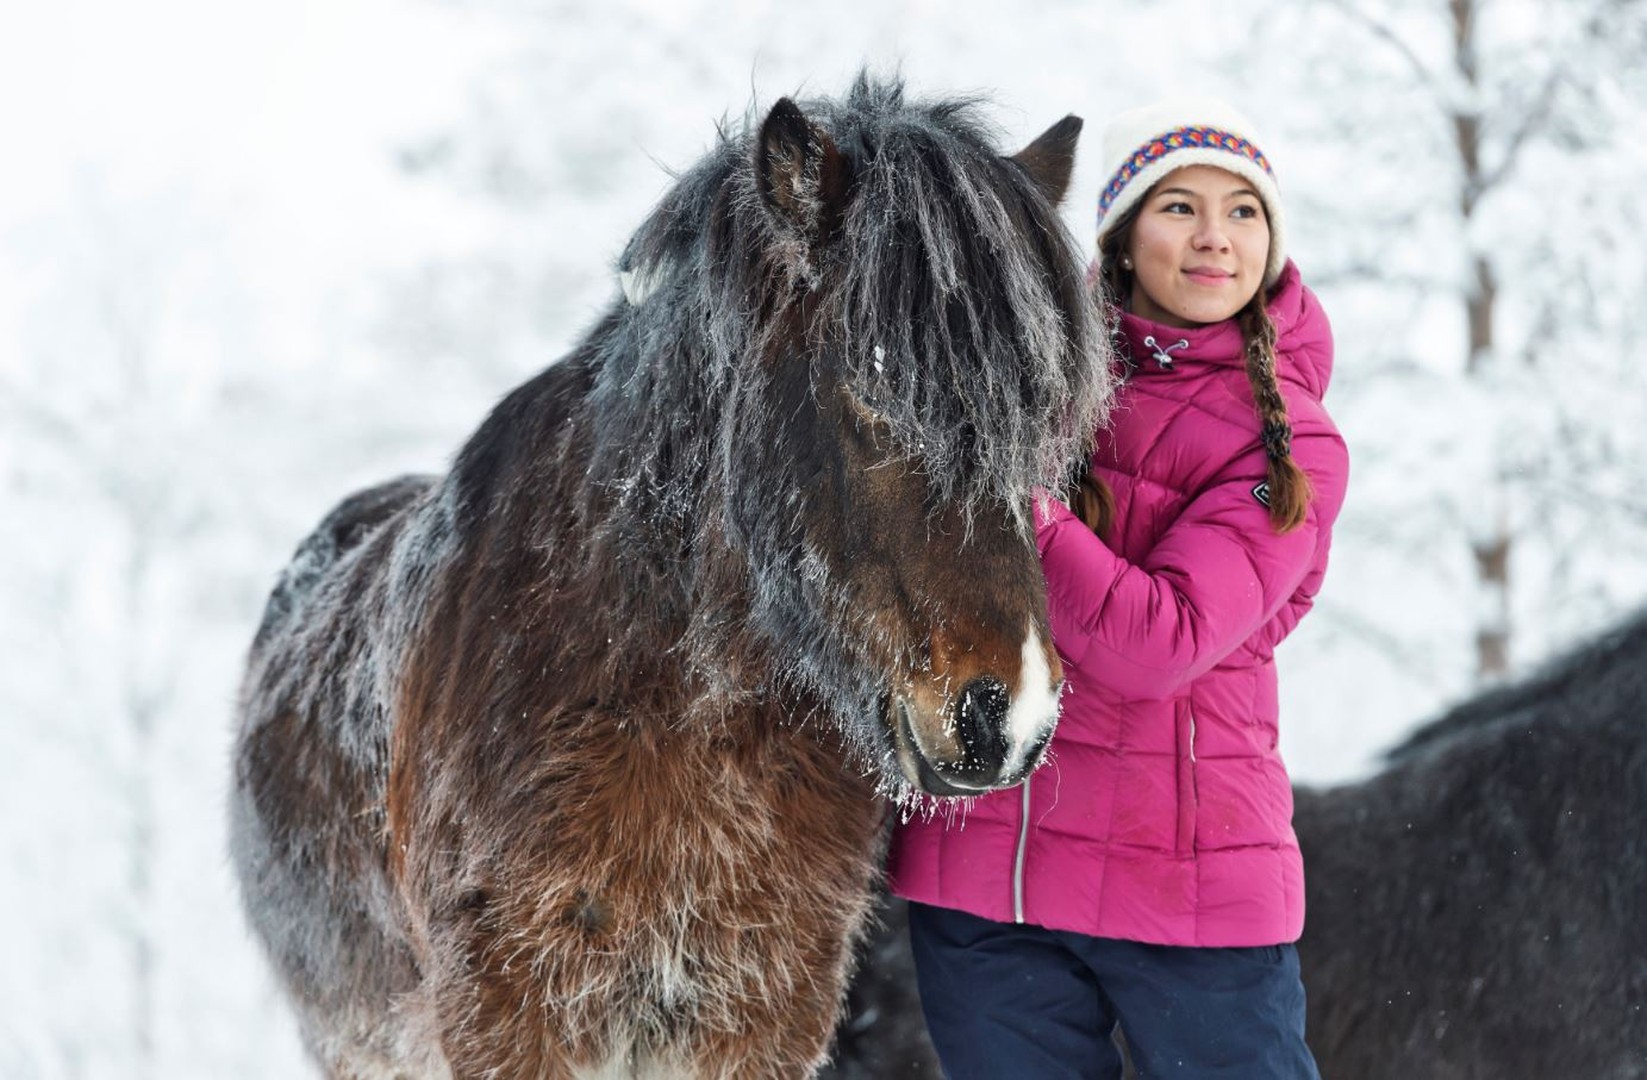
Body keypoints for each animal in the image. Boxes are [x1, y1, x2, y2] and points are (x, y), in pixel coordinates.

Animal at [229, 74, 1111, 1079]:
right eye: (874, 391)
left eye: (1044, 418)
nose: (1007, 717)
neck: (677, 706)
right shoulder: (509, 1020)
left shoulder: (763, 1016)